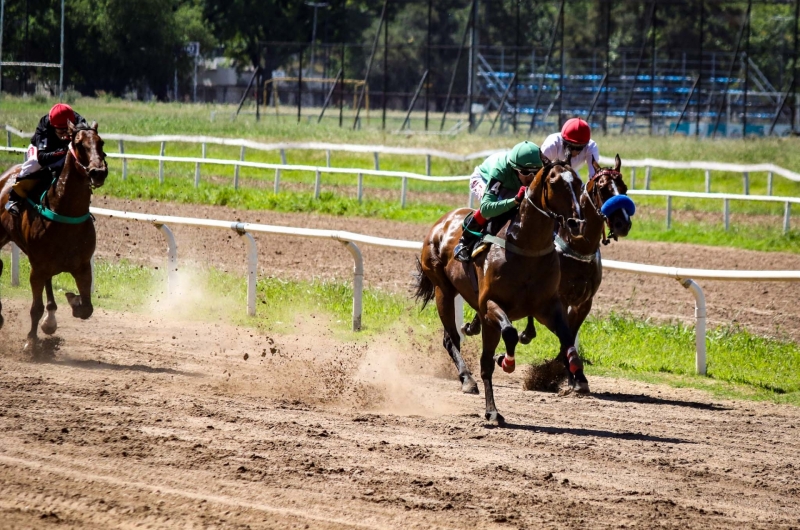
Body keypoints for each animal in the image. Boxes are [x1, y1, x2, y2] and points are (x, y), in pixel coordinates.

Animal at [0, 119, 108, 350]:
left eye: (101, 142)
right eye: (78, 144)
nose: (98, 172)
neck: (65, 212)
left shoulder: (82, 267)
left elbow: (87, 308)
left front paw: (73, 300)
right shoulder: (37, 268)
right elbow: (35, 307)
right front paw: (31, 342)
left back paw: (50, 320)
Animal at [416, 159, 584, 422]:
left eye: (578, 183)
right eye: (554, 182)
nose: (576, 223)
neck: (526, 247)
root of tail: (442, 221)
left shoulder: (547, 306)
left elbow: (567, 338)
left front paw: (577, 374)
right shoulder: (490, 306)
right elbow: (509, 334)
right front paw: (505, 362)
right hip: (443, 290)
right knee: (452, 340)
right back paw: (472, 386)